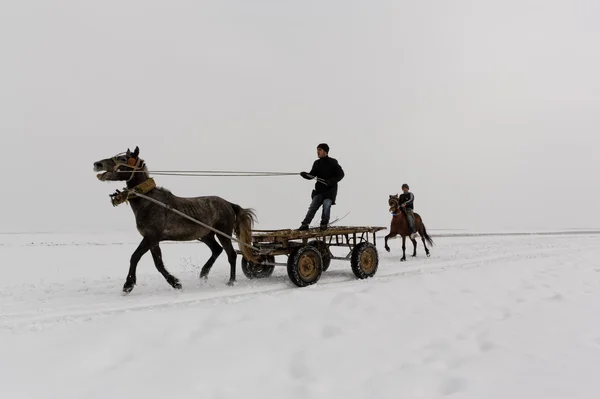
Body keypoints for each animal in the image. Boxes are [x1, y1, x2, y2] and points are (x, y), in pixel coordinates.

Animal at [93, 147, 258, 294]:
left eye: (123, 159)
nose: (97, 164)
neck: (149, 201)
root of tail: (228, 204)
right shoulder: (153, 240)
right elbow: (157, 263)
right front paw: (175, 283)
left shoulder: (151, 237)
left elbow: (136, 257)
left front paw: (128, 285)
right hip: (206, 235)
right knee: (217, 250)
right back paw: (203, 274)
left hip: (223, 233)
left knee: (231, 255)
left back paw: (231, 281)